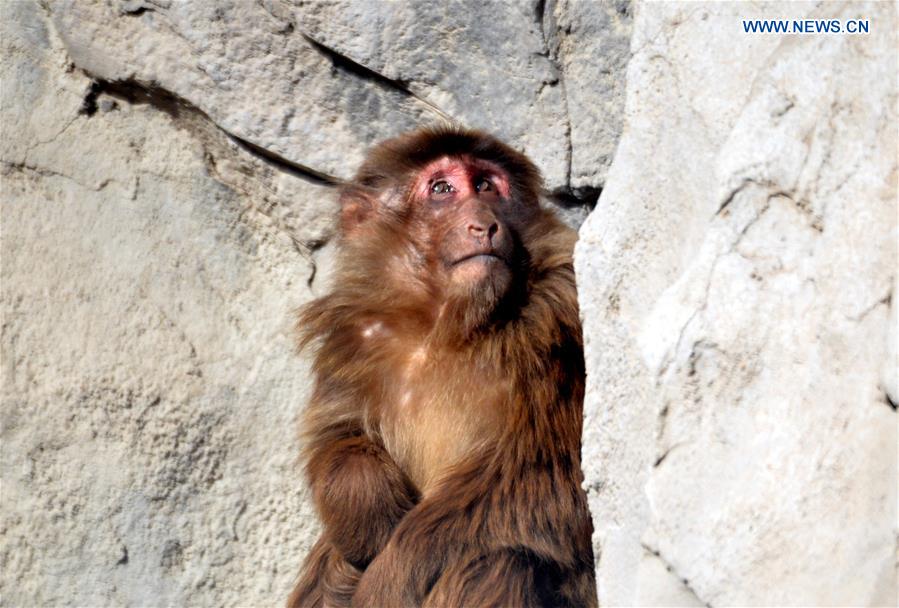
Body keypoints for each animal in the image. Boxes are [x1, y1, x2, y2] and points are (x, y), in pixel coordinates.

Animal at [288, 127, 596, 608]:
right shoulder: (356, 338)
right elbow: (339, 437)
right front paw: (365, 510)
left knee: (500, 560)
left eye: (486, 185)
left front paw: (392, 575)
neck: (445, 326)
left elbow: (555, 484)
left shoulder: (557, 324)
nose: (484, 223)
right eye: (442, 189)